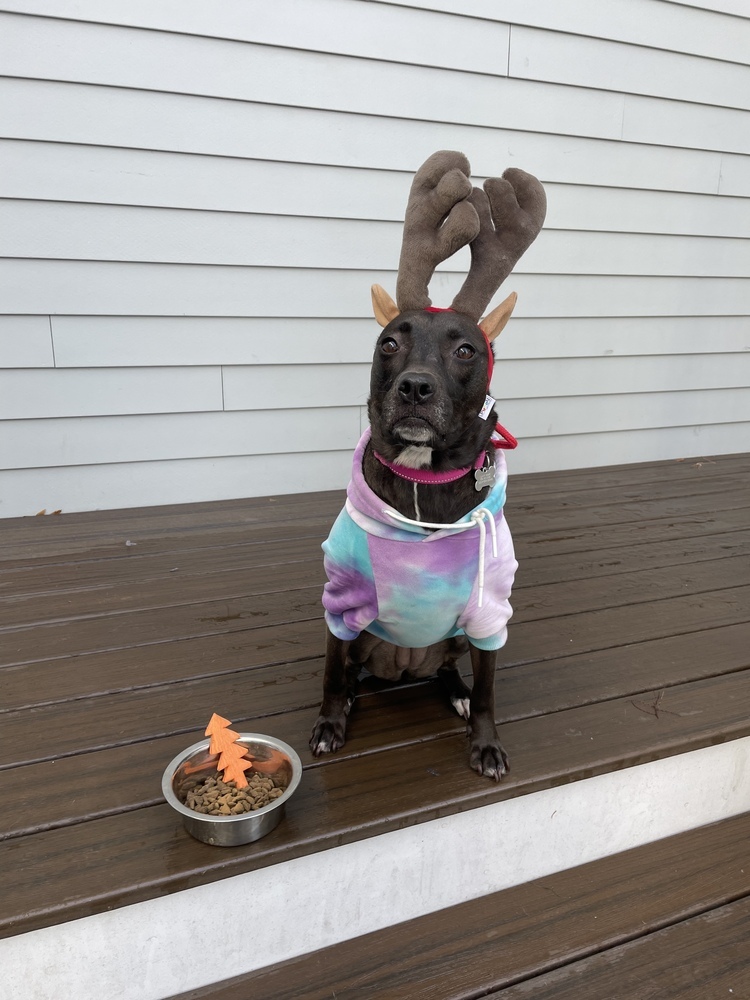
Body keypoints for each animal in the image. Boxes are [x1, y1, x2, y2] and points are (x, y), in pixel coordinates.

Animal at [306, 150, 548, 780]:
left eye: (466, 349)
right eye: (389, 343)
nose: (415, 387)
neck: (424, 484)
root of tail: (404, 666)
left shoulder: (490, 612)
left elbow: (489, 691)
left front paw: (484, 742)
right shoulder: (339, 604)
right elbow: (329, 673)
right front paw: (329, 722)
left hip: (458, 636)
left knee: (448, 668)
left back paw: (453, 690)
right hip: (364, 636)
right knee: (350, 671)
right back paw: (354, 697)